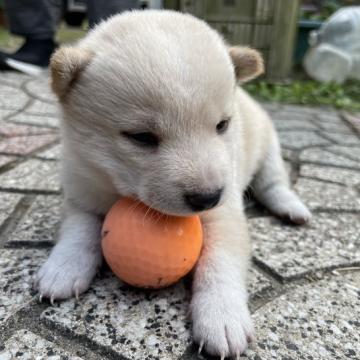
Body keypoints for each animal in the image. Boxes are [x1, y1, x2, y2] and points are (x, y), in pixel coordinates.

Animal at [37, 9, 312, 358]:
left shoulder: (224, 213)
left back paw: (291, 208)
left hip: (268, 144)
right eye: (141, 137)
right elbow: (78, 230)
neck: (115, 187)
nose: (208, 197)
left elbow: (220, 259)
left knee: (274, 181)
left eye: (222, 125)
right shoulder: (82, 187)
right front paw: (63, 267)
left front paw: (222, 316)